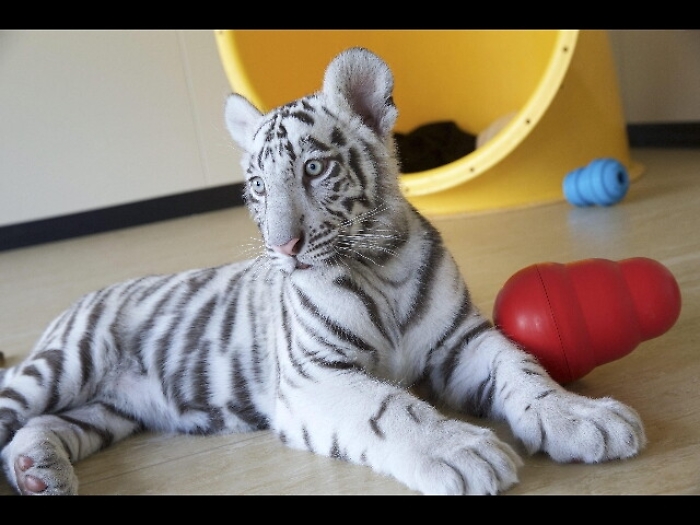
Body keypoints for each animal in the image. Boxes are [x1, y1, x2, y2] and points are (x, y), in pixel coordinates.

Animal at [0, 47, 646, 495]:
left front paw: (583, 417)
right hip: (64, 365)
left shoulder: (461, 339)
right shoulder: (315, 374)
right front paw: (459, 450)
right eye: (258, 185)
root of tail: (74, 306)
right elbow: (392, 407)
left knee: (38, 429)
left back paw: (38, 470)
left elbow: (523, 367)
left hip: (105, 410)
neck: (380, 265)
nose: (282, 246)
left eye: (314, 169)